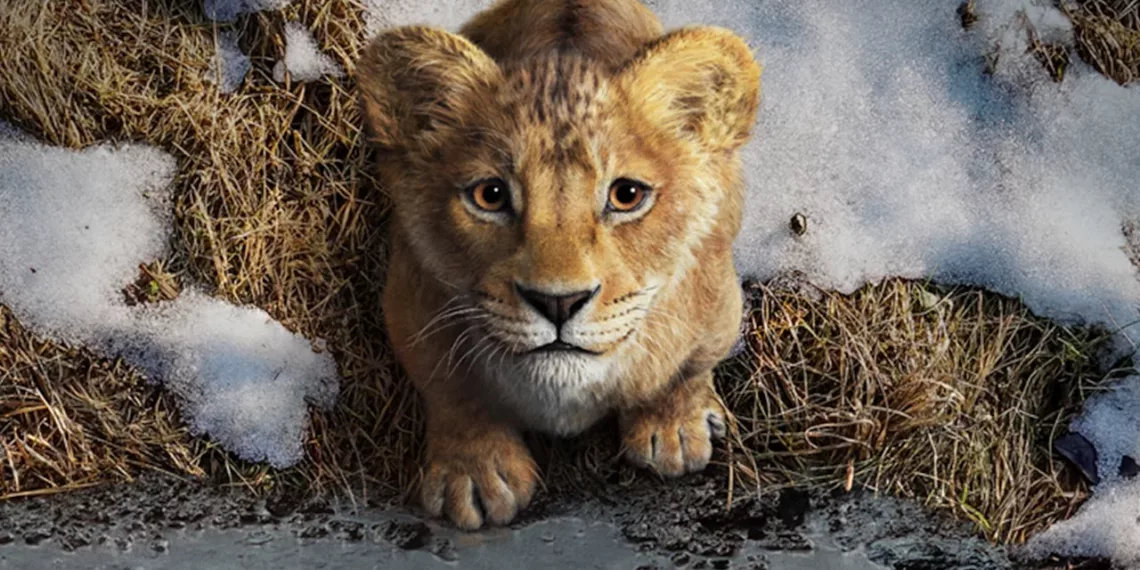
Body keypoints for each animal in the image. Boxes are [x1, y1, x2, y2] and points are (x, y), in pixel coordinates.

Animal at [357, 0, 761, 529]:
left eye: (627, 195)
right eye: (490, 195)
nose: (558, 303)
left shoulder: (717, 300)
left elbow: (688, 367)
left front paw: (674, 428)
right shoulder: (410, 299)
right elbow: (451, 389)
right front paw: (476, 473)